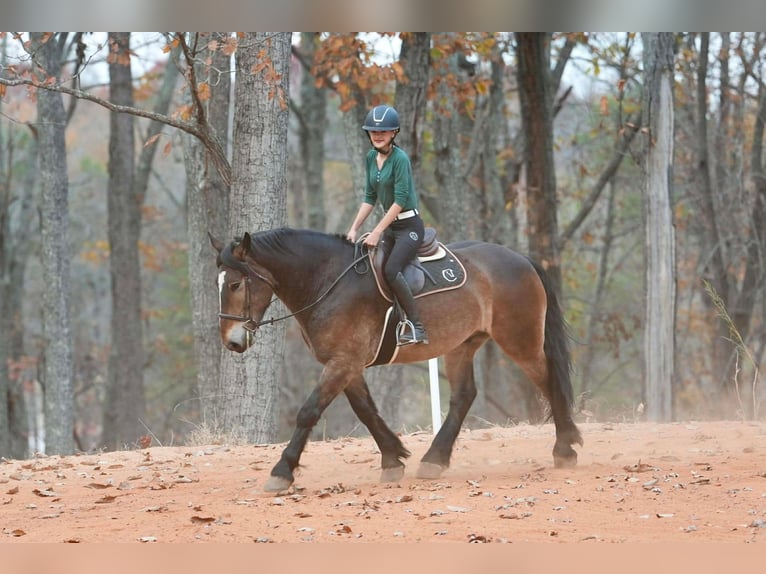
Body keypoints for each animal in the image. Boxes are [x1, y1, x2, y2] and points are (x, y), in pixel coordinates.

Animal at [210, 227, 582, 493]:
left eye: (236, 284)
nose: (232, 342)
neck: (328, 281)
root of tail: (519, 258)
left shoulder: (342, 362)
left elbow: (308, 412)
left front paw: (281, 472)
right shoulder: (348, 365)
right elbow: (366, 411)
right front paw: (393, 459)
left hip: (520, 340)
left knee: (548, 380)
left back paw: (565, 448)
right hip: (462, 345)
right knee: (464, 396)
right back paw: (434, 460)